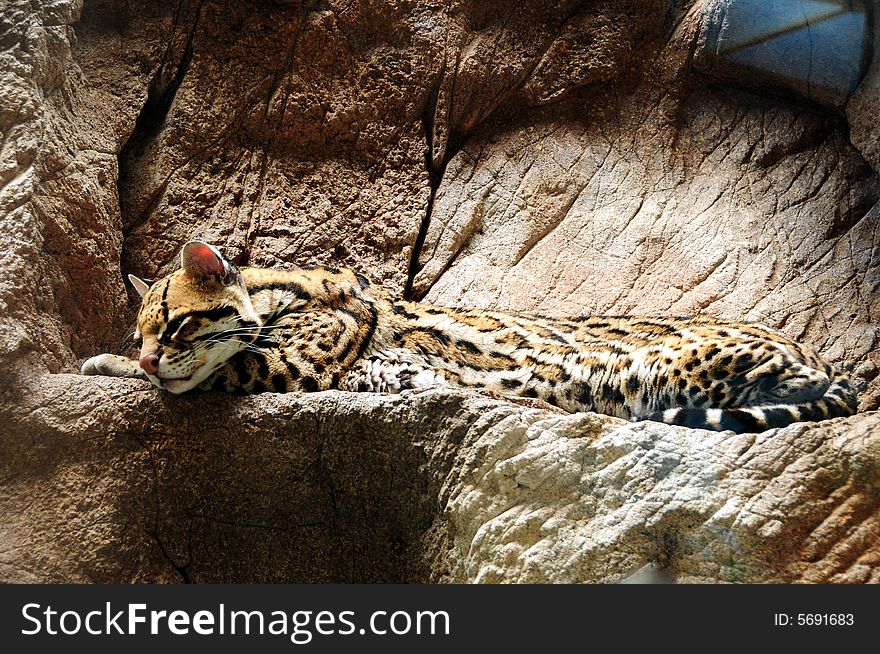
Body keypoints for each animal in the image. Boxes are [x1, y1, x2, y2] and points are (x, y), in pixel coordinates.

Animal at [81, 241, 852, 436]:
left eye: (175, 325)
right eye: (144, 327)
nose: (146, 351)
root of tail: (824, 355)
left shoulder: (300, 359)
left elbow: (217, 370)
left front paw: (108, 364)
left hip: (656, 365)